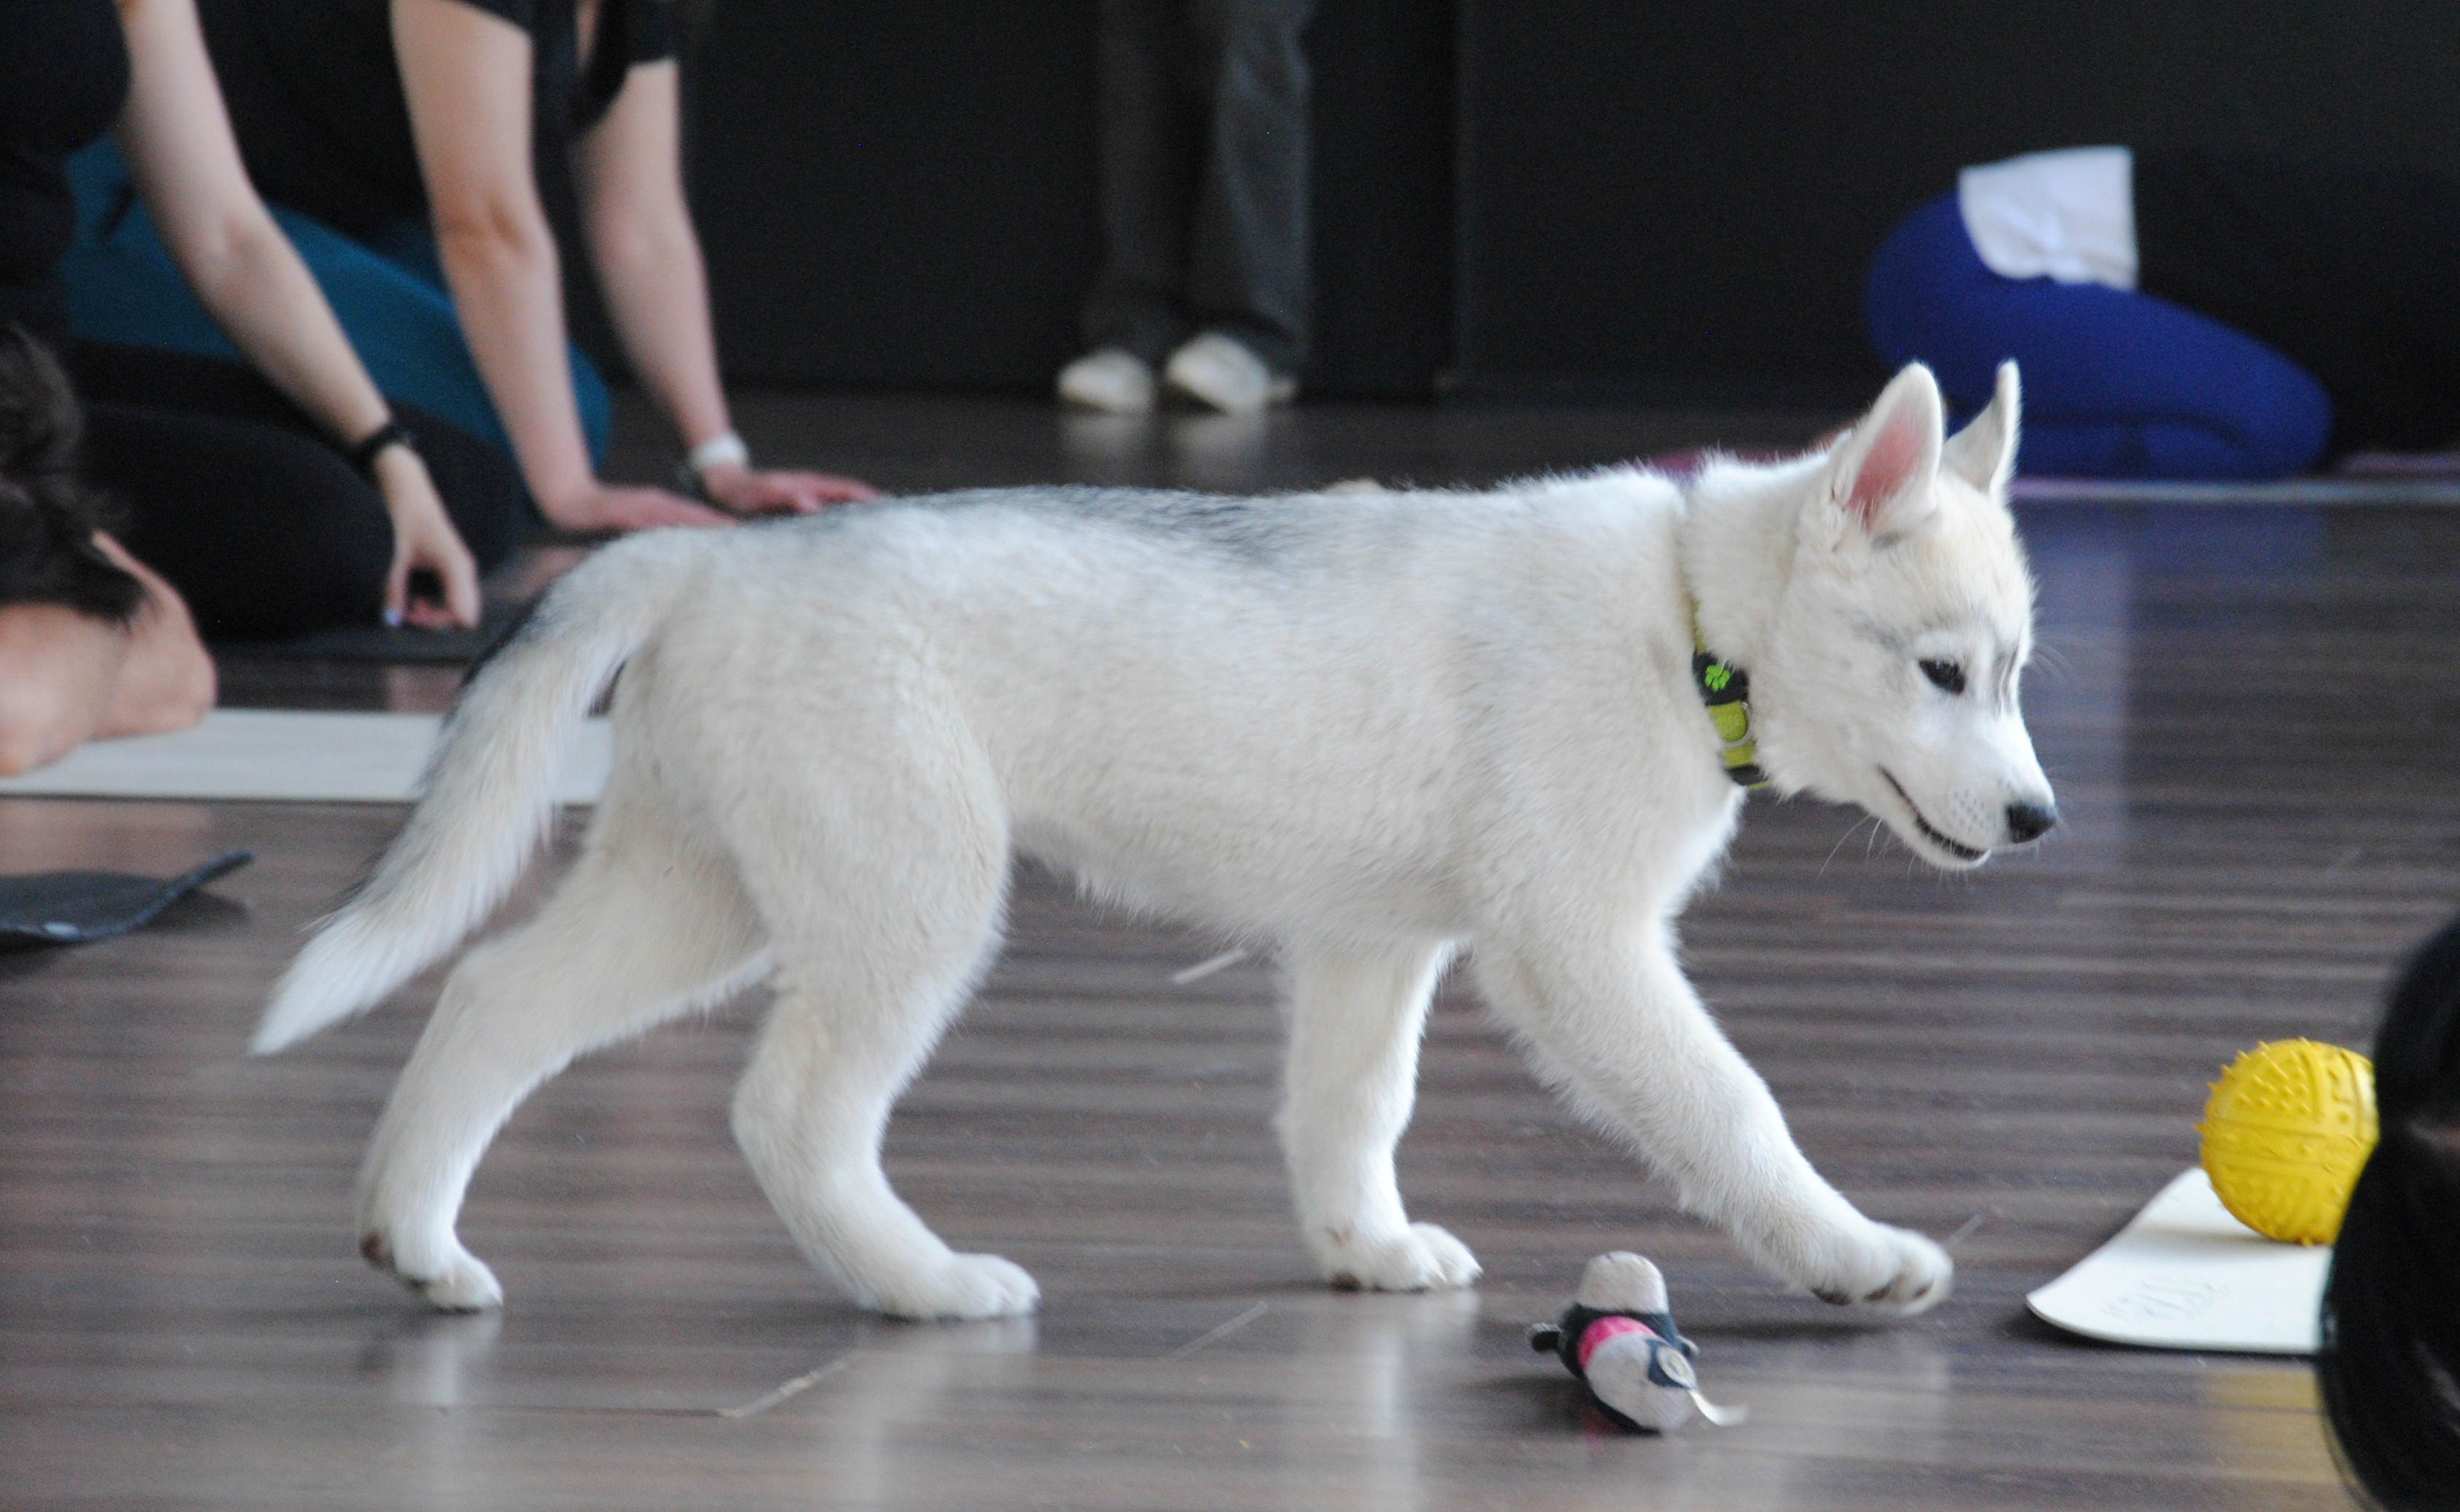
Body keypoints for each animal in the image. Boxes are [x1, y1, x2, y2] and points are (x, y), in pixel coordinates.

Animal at [254, 360, 2054, 1321]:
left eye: (2017, 671)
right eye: (1942, 672)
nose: (2041, 819)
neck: (1688, 619)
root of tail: (709, 560)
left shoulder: (1371, 945)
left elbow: (1348, 1113)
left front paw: (1363, 1248)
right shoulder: (1580, 947)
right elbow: (1732, 1104)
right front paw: (1853, 1254)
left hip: (697, 891)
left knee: (492, 993)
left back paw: (416, 1243)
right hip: (908, 901)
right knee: (789, 1113)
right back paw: (921, 1284)